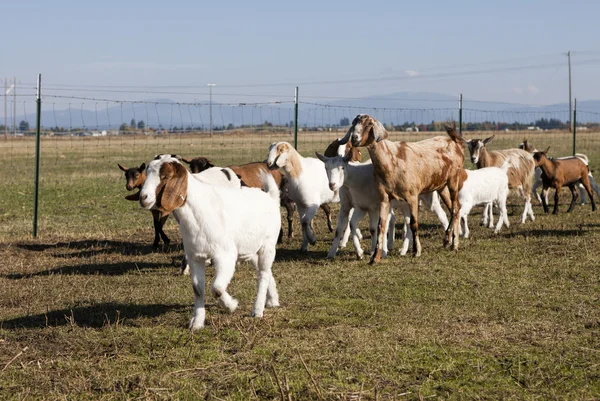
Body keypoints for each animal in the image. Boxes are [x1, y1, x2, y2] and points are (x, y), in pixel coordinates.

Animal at [140, 153, 282, 328]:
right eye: (147, 172)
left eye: (165, 176)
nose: (143, 197)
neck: (199, 211)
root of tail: (270, 197)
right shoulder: (195, 257)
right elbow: (197, 288)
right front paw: (197, 322)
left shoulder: (225, 255)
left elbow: (217, 288)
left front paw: (231, 305)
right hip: (250, 250)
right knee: (266, 271)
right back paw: (273, 300)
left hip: (268, 245)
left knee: (262, 274)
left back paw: (257, 310)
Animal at [316, 152, 448, 258]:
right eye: (326, 168)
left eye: (342, 167)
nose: (332, 185)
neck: (359, 178)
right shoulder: (357, 206)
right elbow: (347, 227)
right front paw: (337, 253)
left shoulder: (376, 207)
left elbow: (378, 228)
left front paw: (379, 251)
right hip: (406, 205)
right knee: (409, 223)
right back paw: (403, 250)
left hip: (429, 198)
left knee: (442, 215)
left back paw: (448, 242)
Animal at [338, 114, 464, 260]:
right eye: (354, 124)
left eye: (369, 124)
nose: (354, 138)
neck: (391, 160)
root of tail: (456, 143)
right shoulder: (384, 198)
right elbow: (381, 225)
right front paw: (376, 256)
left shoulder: (412, 196)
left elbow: (413, 223)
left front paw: (416, 251)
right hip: (441, 186)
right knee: (456, 209)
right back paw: (449, 241)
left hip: (453, 179)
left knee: (454, 209)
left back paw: (453, 243)